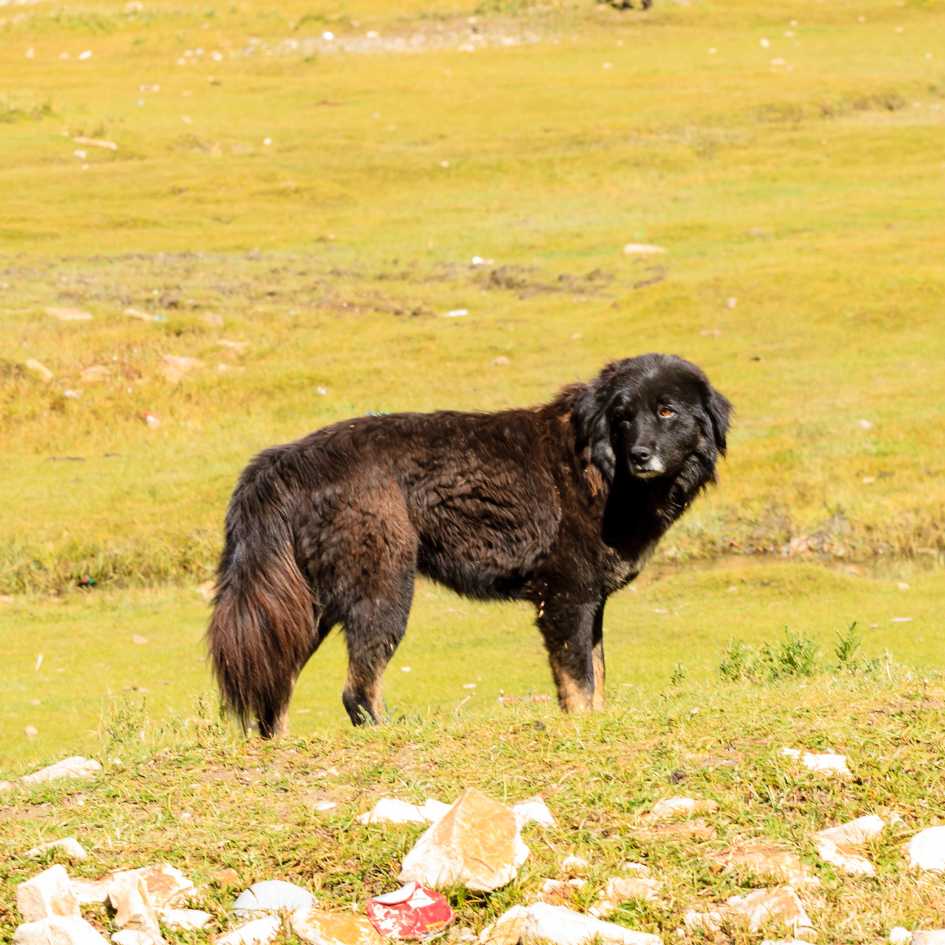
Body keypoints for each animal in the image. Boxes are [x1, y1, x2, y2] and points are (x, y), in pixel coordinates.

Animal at [208, 352, 732, 732]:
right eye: (623, 418)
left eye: (665, 410)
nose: (640, 454)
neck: (603, 471)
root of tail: (289, 458)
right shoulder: (566, 599)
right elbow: (580, 683)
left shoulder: (590, 602)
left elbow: (596, 677)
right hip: (384, 592)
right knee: (356, 691)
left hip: (312, 603)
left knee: (276, 682)